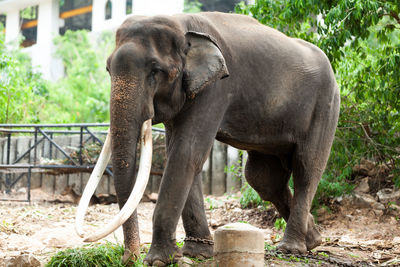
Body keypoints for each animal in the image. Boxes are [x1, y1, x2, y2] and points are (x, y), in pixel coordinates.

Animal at [73, 11, 340, 266]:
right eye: (108, 69)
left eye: (155, 71)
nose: (128, 258)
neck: (181, 24)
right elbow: (180, 154)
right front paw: (197, 253)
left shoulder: (216, 89)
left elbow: (186, 153)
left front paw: (159, 260)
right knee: (263, 178)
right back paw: (313, 239)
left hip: (325, 106)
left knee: (306, 168)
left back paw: (291, 248)